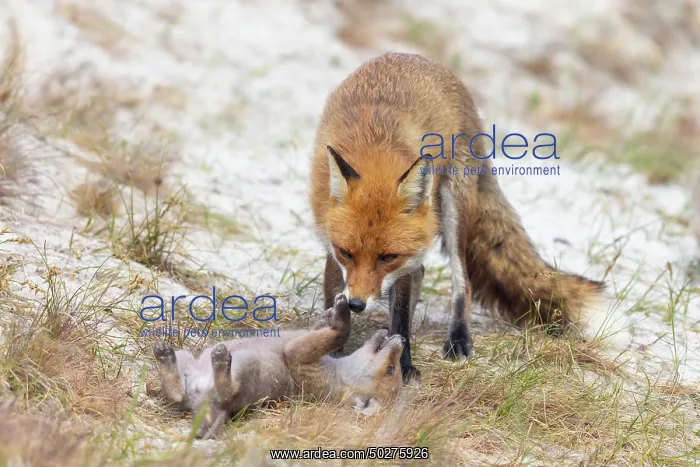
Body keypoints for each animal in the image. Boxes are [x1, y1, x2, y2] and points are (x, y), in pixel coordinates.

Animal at [152, 294, 404, 439]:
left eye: (390, 369)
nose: (401, 339)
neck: (337, 374)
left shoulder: (298, 356)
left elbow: (339, 334)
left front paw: (341, 312)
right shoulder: (306, 340)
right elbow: (320, 326)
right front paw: (331, 311)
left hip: (246, 365)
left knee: (225, 392)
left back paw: (221, 361)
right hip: (187, 358)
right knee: (176, 393)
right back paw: (164, 355)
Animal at [309, 52, 619, 381]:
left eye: (387, 257)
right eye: (347, 253)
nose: (357, 304)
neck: (374, 147)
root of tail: (425, 61)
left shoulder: (405, 259)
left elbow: (401, 317)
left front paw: (403, 363)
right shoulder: (331, 244)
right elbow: (333, 293)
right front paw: (332, 348)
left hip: (453, 208)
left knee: (463, 282)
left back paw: (458, 338)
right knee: (423, 273)